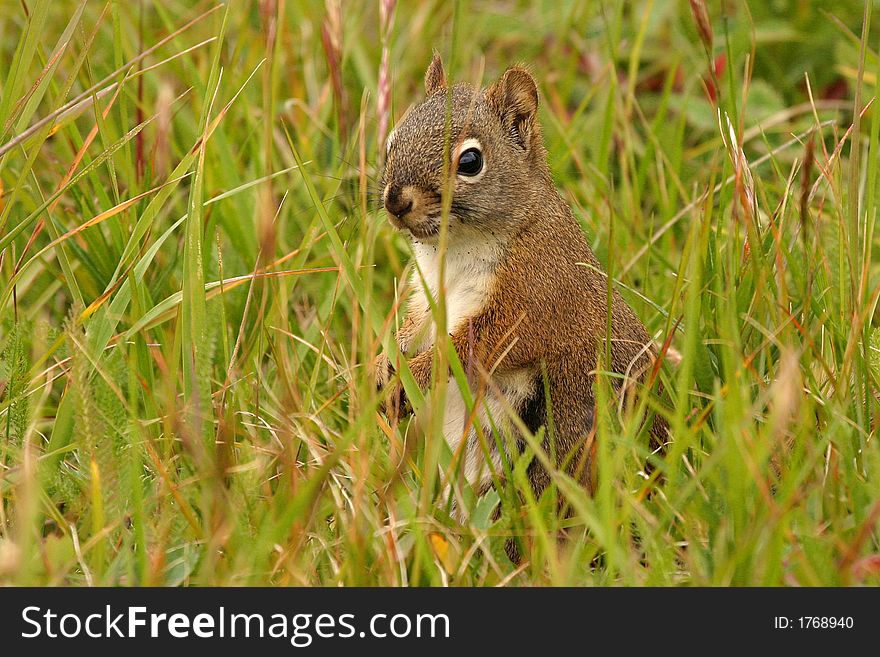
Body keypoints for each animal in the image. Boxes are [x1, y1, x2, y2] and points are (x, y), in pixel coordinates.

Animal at [372, 53, 668, 528]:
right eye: (392, 142)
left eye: (470, 161)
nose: (396, 201)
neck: (456, 249)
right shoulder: (429, 293)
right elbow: (416, 326)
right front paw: (384, 363)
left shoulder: (535, 294)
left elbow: (475, 346)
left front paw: (411, 375)